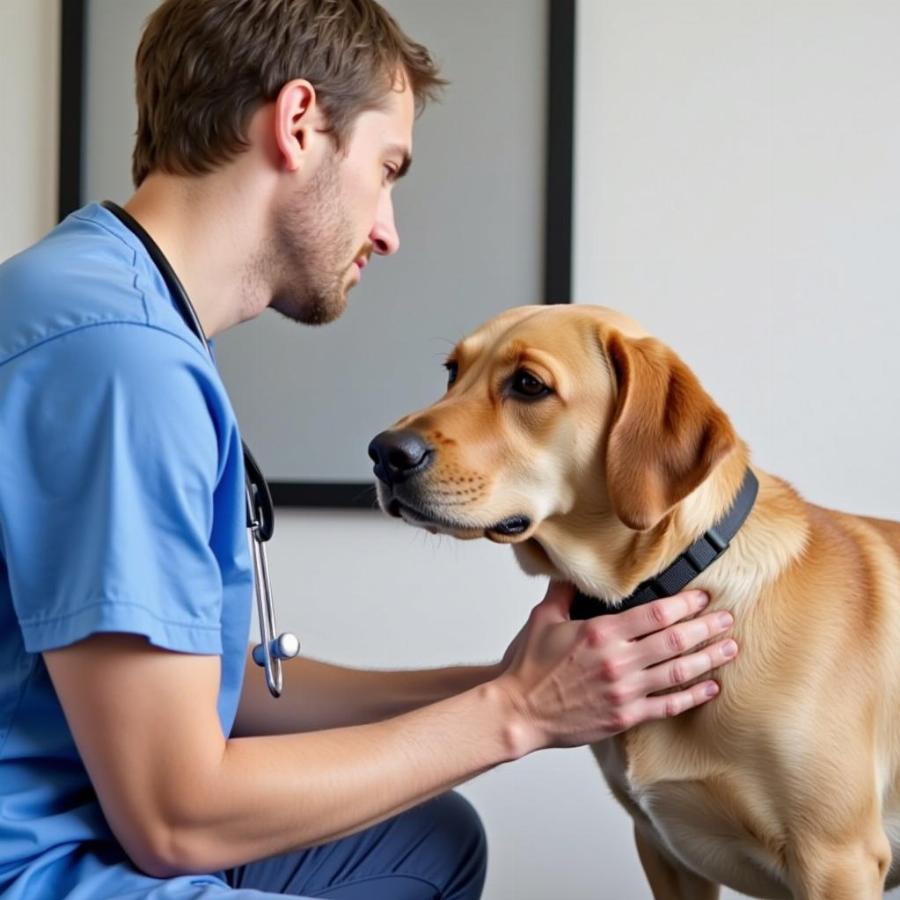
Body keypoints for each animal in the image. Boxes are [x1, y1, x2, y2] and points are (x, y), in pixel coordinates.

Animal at [368, 304, 900, 900]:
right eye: (452, 372)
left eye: (528, 385)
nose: (384, 453)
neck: (682, 575)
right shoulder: (665, 851)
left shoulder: (837, 859)